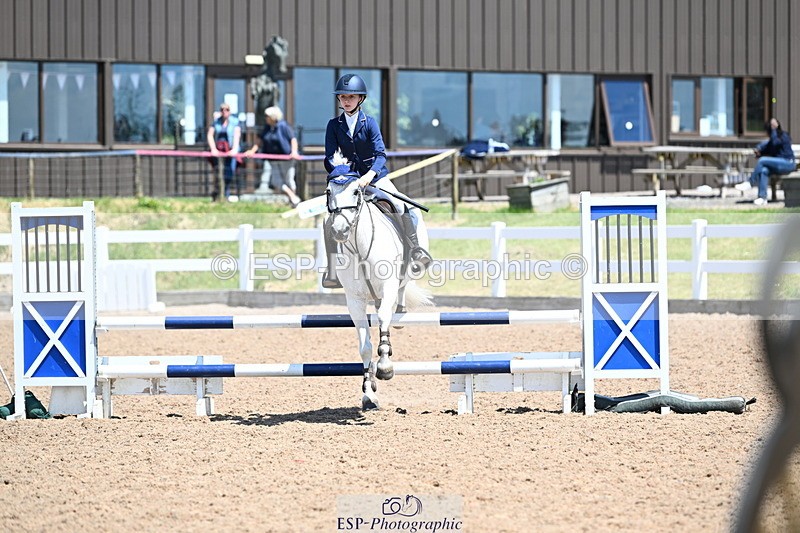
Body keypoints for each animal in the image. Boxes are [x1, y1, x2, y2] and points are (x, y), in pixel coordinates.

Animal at [325, 170, 433, 410]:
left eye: (356, 191)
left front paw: (384, 365)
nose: (339, 230)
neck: (360, 247)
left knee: (401, 290)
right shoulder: (355, 300)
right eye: (328, 192)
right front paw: (369, 393)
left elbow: (384, 317)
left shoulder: (388, 286)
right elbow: (365, 346)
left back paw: (400, 312)